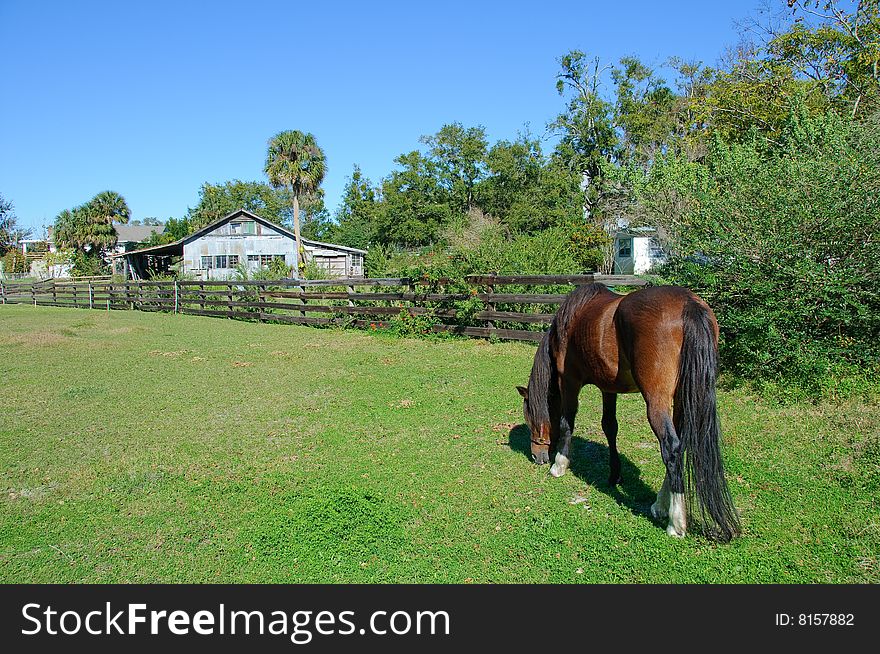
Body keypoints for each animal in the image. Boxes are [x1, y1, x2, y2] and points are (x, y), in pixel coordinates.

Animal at [520, 284, 740, 540]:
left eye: (531, 420)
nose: (537, 456)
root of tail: (688, 304)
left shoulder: (569, 381)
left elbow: (567, 424)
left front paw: (560, 464)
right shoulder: (608, 388)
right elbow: (609, 427)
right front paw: (614, 475)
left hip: (656, 401)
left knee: (671, 448)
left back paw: (676, 523)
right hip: (682, 399)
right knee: (681, 445)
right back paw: (660, 505)